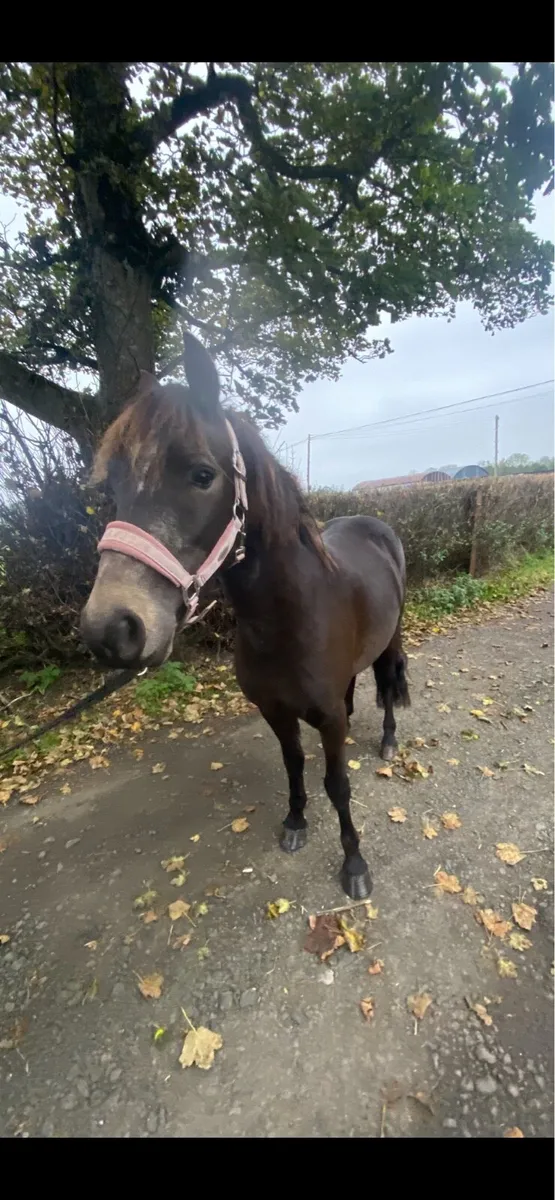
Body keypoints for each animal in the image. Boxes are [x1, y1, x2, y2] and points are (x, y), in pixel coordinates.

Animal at [81, 332, 410, 900]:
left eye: (202, 474)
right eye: (114, 483)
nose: (111, 628)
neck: (288, 619)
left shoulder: (327, 719)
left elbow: (338, 785)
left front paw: (354, 864)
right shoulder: (276, 712)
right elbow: (295, 767)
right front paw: (296, 823)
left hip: (390, 643)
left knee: (388, 686)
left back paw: (388, 741)